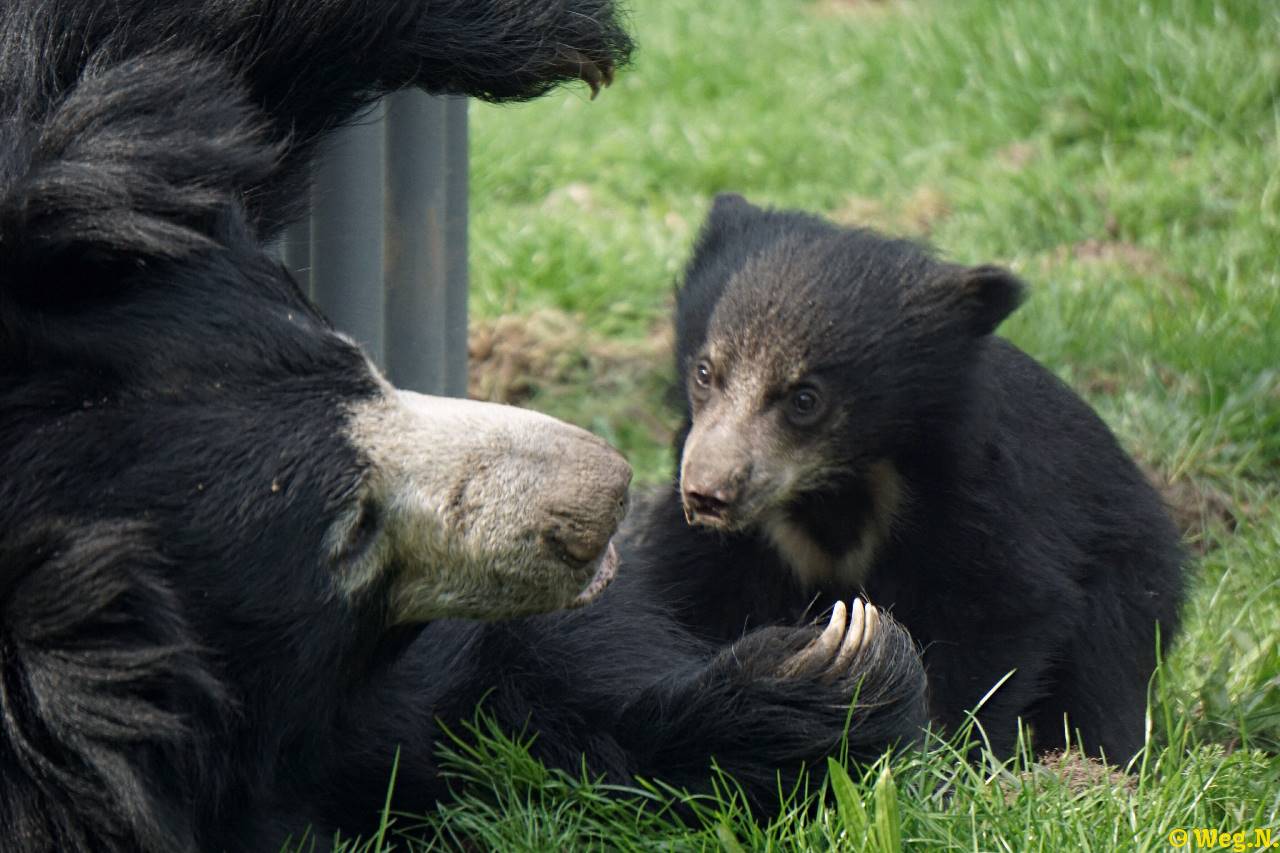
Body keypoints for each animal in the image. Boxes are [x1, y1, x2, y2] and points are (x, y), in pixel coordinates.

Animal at [624, 195, 1182, 758]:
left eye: (805, 399)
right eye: (704, 372)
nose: (707, 496)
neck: (833, 487)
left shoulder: (974, 496)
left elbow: (1003, 607)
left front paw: (939, 749)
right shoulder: (724, 543)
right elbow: (686, 596)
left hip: (1129, 577)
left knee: (1102, 680)